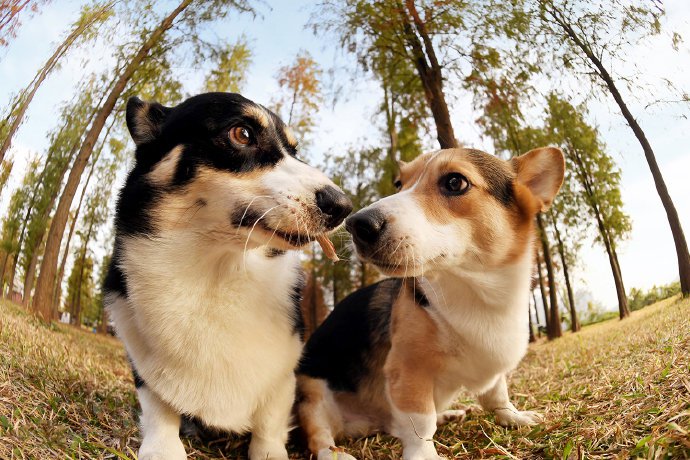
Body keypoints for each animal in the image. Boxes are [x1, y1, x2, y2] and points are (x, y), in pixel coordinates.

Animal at [105, 93, 352, 460]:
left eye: (294, 151)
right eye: (242, 133)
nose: (343, 207)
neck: (216, 273)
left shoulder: (285, 375)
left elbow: (270, 420)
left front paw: (269, 452)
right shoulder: (141, 363)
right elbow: (158, 406)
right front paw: (164, 447)